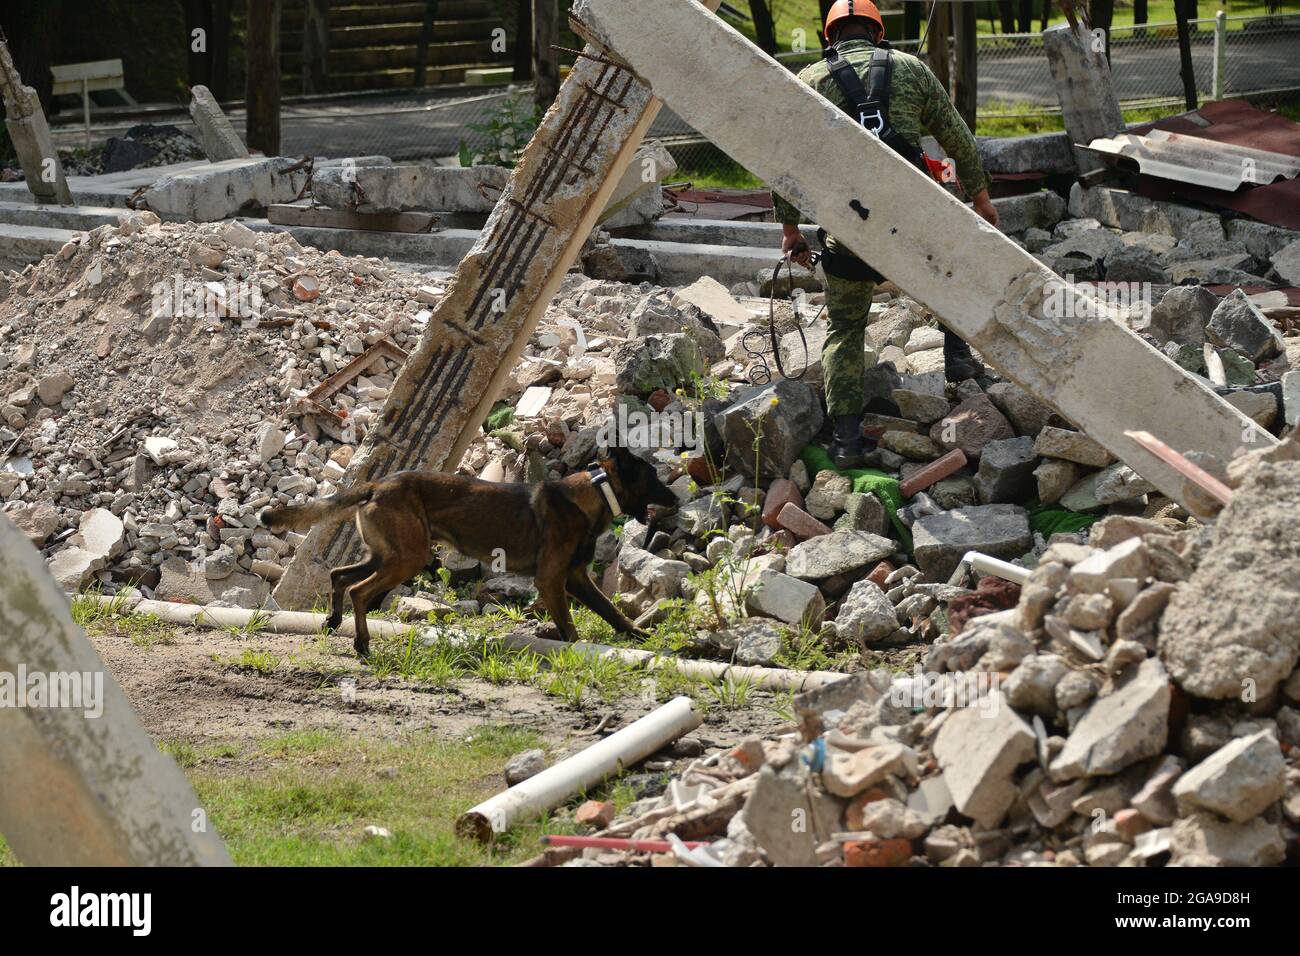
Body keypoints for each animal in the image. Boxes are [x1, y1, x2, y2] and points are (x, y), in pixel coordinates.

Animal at [257, 447, 676, 658]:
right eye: (654, 477)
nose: (675, 497)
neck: (594, 491)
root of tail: (377, 485)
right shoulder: (553, 580)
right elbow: (570, 627)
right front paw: (576, 652)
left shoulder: (576, 578)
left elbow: (612, 612)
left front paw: (640, 638)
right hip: (407, 558)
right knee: (360, 590)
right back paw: (361, 643)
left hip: (386, 556)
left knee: (339, 575)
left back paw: (333, 621)